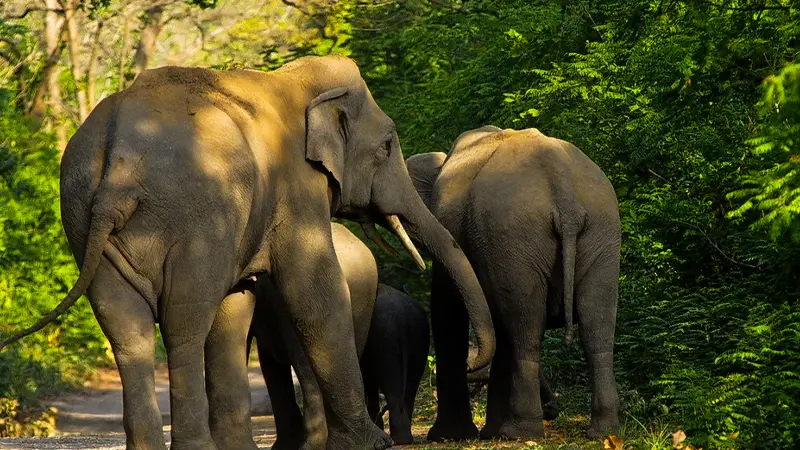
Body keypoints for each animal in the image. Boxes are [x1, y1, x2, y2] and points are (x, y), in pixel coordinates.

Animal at [361, 284, 430, 445]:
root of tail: (402, 318)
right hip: (419, 336)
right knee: (410, 387)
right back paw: (405, 438)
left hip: (385, 339)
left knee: (391, 386)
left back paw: (399, 439)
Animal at [406, 126, 621, 440]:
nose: (471, 365)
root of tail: (563, 186)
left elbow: (448, 311)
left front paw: (450, 436)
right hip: (596, 231)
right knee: (596, 326)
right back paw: (602, 432)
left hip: (517, 234)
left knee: (525, 327)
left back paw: (518, 433)